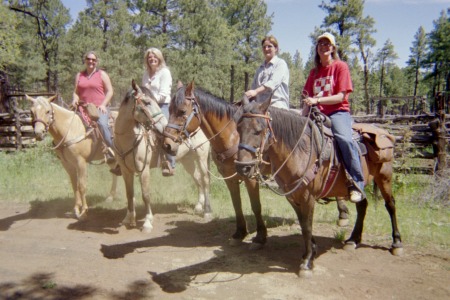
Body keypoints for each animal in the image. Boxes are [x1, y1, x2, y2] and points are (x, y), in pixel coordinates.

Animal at [112, 80, 211, 232]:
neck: (128, 139)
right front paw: (128, 219)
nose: (165, 128)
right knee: (197, 178)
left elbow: (145, 195)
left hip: (201, 157)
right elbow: (129, 194)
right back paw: (199, 206)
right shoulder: (125, 170)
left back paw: (206, 211)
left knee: (205, 180)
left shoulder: (144, 170)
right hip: (188, 161)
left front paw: (147, 222)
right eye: (147, 102)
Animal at [164, 81, 352, 250]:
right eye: (170, 110)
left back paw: (343, 215)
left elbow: (256, 206)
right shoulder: (229, 177)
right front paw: (239, 233)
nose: (167, 144)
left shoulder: (251, 177)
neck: (232, 136)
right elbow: (237, 204)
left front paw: (260, 236)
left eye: (182, 111)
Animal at [234, 95, 402, 276]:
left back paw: (396, 243)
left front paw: (307, 262)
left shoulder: (308, 197)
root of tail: (384, 133)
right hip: (360, 184)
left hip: (384, 177)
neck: (300, 151)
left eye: (259, 130)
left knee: (390, 205)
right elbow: (303, 224)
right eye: (238, 129)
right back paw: (353, 240)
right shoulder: (292, 197)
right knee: (362, 206)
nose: (242, 167)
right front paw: (311, 252)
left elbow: (308, 226)